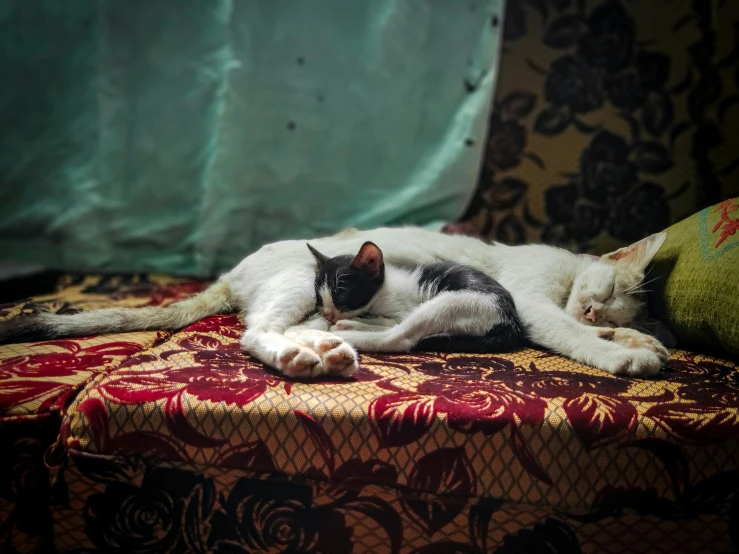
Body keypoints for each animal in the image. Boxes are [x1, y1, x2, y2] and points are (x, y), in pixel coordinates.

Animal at [300, 238, 528, 352]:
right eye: (319, 299)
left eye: (342, 295)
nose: (328, 315)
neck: (379, 297)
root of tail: (511, 322)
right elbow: (387, 321)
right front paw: (355, 321)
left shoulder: (404, 307)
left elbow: (394, 324)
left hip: (452, 302)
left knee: (398, 339)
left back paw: (340, 336)